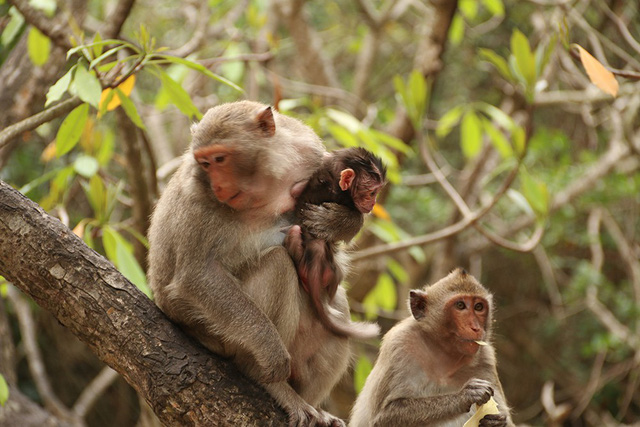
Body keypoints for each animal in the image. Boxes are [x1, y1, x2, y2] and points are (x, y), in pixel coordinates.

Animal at [148, 101, 352, 427]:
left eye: (220, 158)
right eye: (205, 164)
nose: (218, 185)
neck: (267, 179)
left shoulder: (311, 153)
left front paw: (336, 222)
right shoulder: (197, 191)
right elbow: (196, 275)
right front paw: (270, 352)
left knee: (338, 314)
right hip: (218, 335)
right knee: (278, 265)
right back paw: (269, 382)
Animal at [284, 149, 384, 340]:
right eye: (372, 193)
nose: (374, 203)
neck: (332, 178)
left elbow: (295, 190)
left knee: (294, 232)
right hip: (332, 274)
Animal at [350, 270, 516, 427]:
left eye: (479, 307)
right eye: (460, 305)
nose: (475, 327)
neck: (443, 355)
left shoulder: (486, 359)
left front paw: (497, 422)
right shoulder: (400, 343)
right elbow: (382, 417)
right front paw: (465, 396)